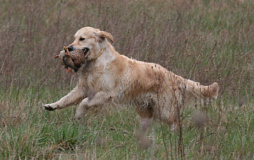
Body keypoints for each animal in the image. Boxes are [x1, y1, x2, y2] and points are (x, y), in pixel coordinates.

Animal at [43, 26, 218, 132]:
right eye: (74, 38)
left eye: (82, 39)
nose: (69, 48)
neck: (97, 61)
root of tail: (174, 76)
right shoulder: (82, 89)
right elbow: (66, 99)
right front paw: (52, 105)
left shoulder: (105, 94)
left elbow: (84, 102)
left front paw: (79, 114)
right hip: (145, 110)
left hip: (165, 109)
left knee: (175, 121)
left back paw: (172, 135)